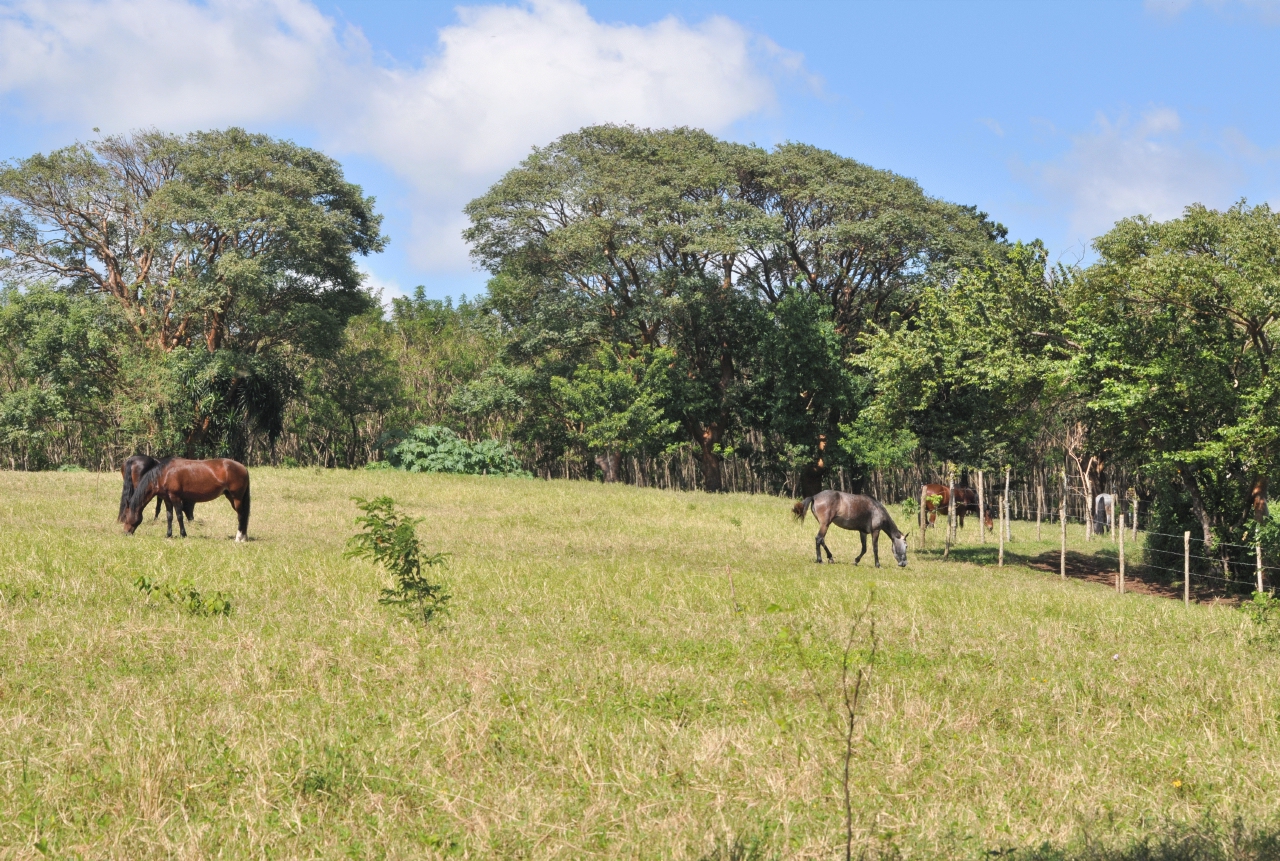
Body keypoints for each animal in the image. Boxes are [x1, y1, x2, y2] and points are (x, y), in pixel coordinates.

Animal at [120, 455, 252, 537]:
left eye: (125, 517)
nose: (125, 532)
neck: (164, 473)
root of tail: (243, 467)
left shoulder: (175, 497)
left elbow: (179, 516)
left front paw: (183, 534)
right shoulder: (167, 500)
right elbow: (169, 516)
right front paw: (169, 534)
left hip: (237, 498)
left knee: (241, 515)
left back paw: (239, 538)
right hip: (231, 497)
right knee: (242, 515)